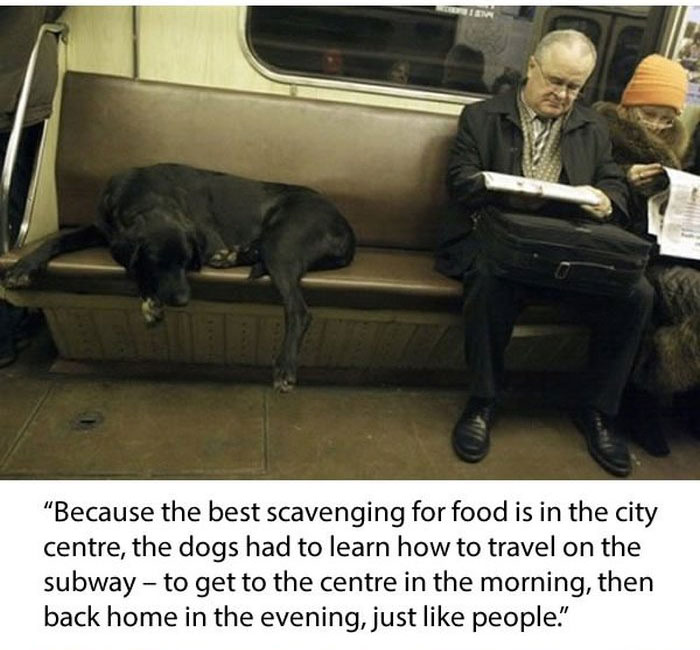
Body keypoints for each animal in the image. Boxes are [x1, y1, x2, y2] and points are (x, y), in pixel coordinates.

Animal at [4, 162, 356, 390]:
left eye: (186, 263)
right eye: (158, 263)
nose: (183, 300)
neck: (145, 194)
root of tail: (346, 228)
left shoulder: (207, 239)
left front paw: (150, 300)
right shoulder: (104, 228)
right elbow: (59, 240)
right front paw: (23, 267)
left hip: (281, 244)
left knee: (299, 310)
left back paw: (284, 366)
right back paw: (232, 257)